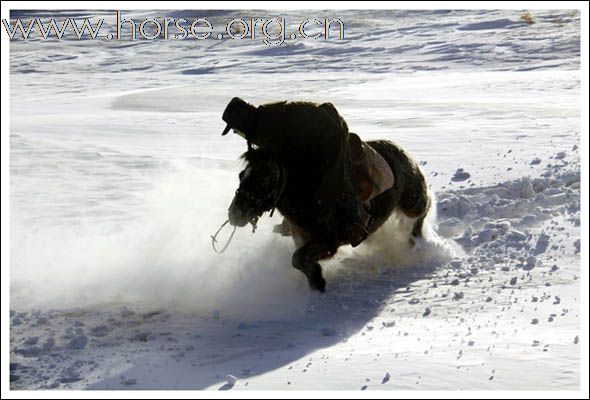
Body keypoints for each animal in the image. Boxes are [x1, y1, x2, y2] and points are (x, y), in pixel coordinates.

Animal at [227, 139, 430, 292]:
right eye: (241, 175)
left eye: (263, 180)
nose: (234, 214)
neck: (309, 196)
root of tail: (402, 151)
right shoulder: (302, 238)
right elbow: (299, 260)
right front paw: (316, 279)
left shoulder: (328, 242)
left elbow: (298, 258)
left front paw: (318, 282)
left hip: (412, 201)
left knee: (422, 212)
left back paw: (416, 240)